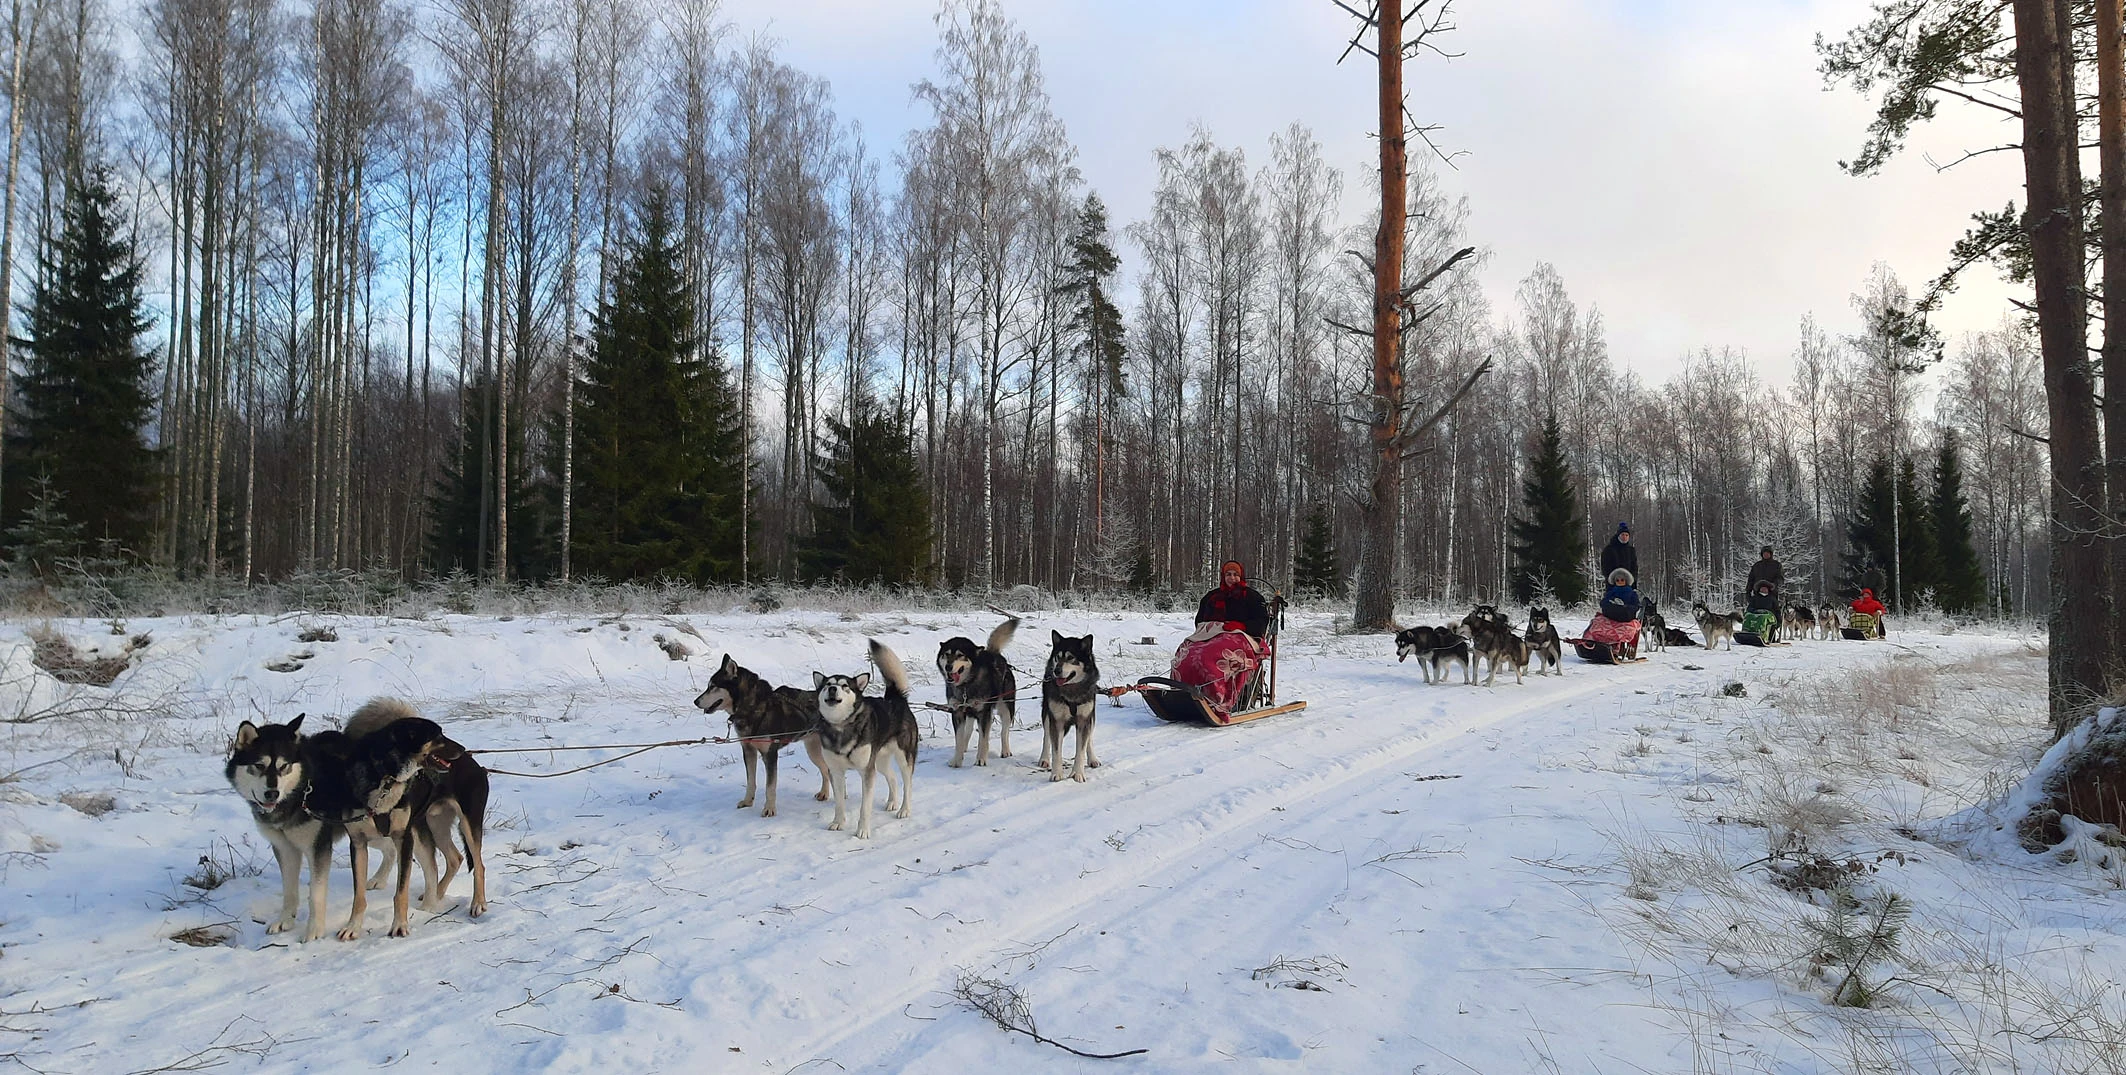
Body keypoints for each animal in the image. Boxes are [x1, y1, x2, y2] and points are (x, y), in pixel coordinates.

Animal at [697, 654, 829, 815]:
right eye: (709, 686)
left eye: (713, 686)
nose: (696, 701)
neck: (753, 708)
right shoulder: (748, 751)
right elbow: (750, 782)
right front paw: (747, 801)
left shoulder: (770, 755)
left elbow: (770, 786)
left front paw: (769, 809)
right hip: (813, 751)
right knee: (826, 770)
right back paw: (825, 793)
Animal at [807, 637, 918, 841]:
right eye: (827, 684)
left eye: (845, 686)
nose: (832, 689)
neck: (841, 726)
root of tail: (896, 699)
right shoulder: (836, 771)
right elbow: (839, 803)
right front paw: (838, 822)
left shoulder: (867, 772)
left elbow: (864, 808)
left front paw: (863, 831)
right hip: (879, 761)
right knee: (892, 777)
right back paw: (892, 802)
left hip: (904, 758)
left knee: (907, 784)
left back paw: (904, 809)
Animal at [939, 616, 1020, 769]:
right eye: (946, 654)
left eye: (960, 655)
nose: (948, 667)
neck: (966, 685)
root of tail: (995, 654)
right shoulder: (957, 712)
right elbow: (959, 738)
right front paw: (957, 760)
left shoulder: (984, 713)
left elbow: (983, 739)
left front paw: (981, 759)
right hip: (970, 712)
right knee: (969, 729)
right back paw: (965, 747)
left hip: (1006, 708)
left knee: (1004, 731)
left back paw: (1005, 750)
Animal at [1037, 628, 1105, 781]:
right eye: (1057, 657)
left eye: (1070, 658)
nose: (1056, 671)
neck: (1071, 690)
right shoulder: (1057, 720)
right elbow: (1056, 750)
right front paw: (1056, 773)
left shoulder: (1084, 719)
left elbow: (1080, 750)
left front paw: (1077, 774)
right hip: (1047, 713)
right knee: (1046, 736)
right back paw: (1044, 758)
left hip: (1091, 717)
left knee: (1089, 738)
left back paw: (1092, 758)